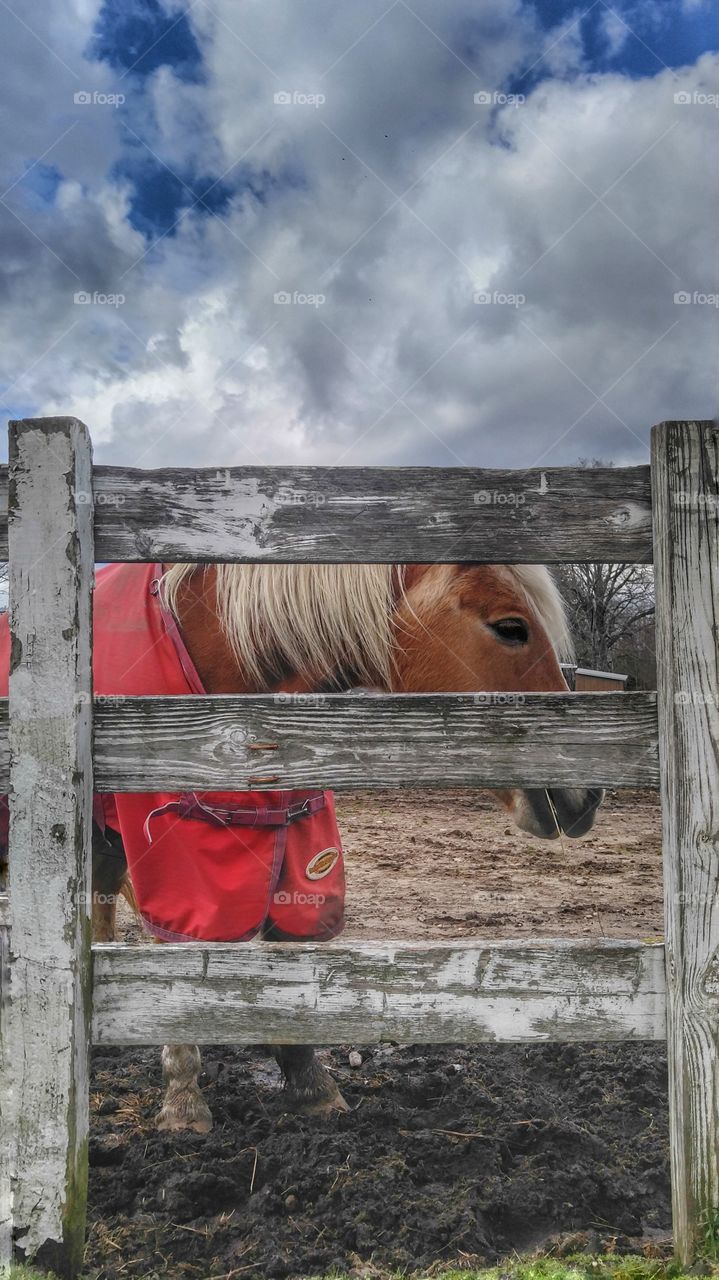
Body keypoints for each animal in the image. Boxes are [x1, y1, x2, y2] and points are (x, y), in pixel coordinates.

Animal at [90, 559, 603, 1134]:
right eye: (511, 627)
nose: (588, 794)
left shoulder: (299, 851)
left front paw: (310, 1085)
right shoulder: (177, 865)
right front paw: (184, 1103)